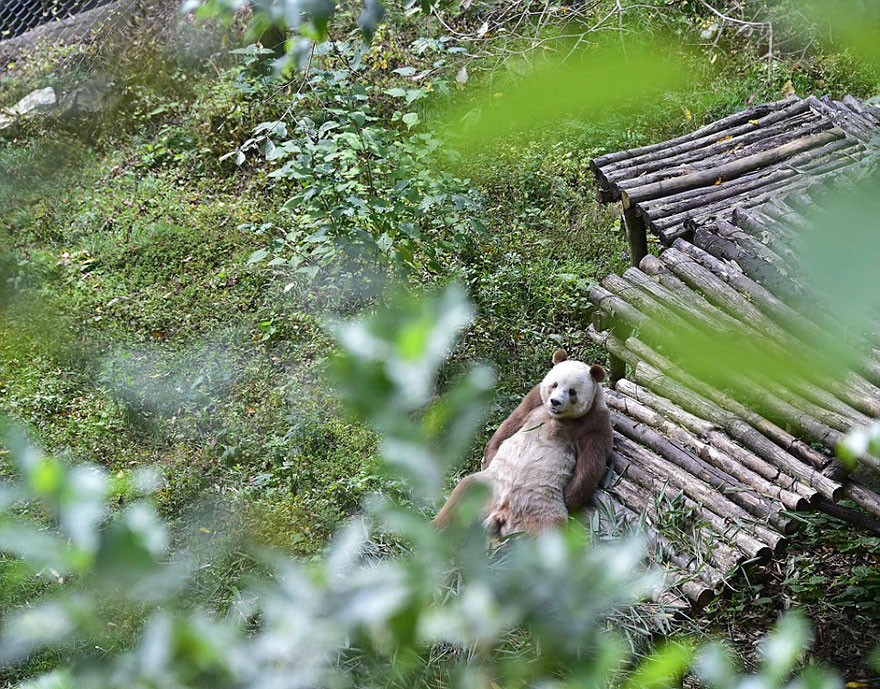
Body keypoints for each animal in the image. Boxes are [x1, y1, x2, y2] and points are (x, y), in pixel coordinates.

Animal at [433, 349, 613, 536]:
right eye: (554, 385)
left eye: (572, 392)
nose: (555, 402)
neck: (558, 417)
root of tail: (502, 511)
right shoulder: (535, 401)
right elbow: (510, 424)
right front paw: (488, 459)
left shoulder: (595, 420)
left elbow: (592, 461)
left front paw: (570, 497)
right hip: (485, 488)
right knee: (461, 498)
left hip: (543, 510)